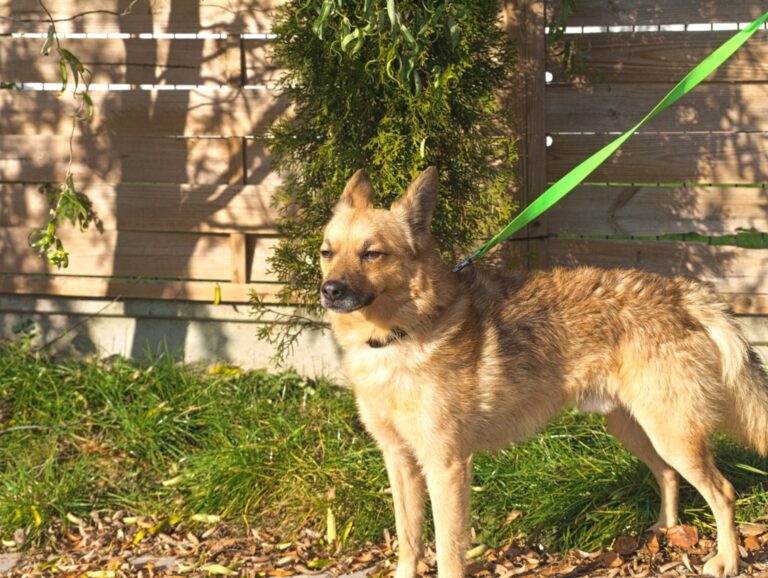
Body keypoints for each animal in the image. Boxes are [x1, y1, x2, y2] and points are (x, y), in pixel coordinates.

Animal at [316, 166, 768, 576]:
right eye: (326, 252)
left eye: (372, 253)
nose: (330, 291)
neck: (402, 336)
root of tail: (683, 294)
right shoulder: (399, 461)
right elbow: (409, 541)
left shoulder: (446, 466)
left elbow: (447, 552)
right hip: (636, 430)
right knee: (670, 476)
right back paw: (664, 532)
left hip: (672, 435)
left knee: (723, 492)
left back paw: (728, 561)